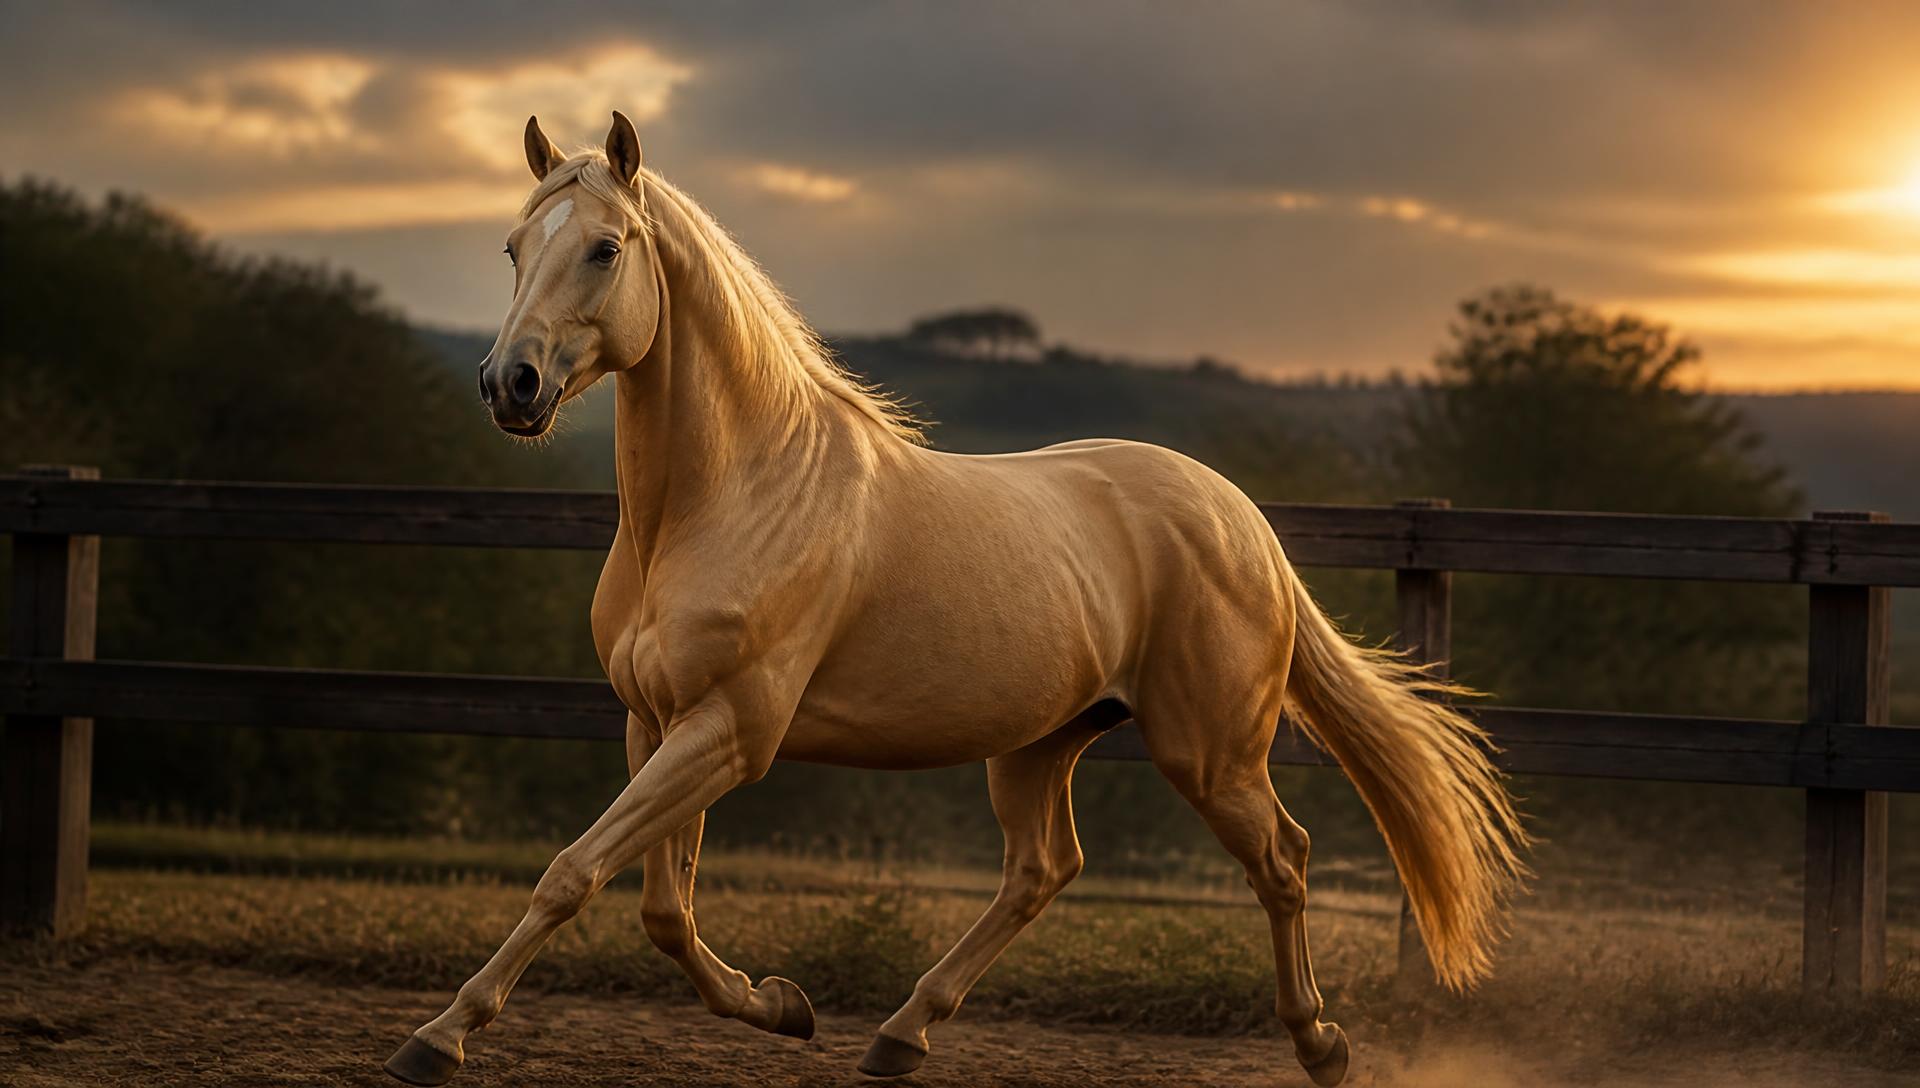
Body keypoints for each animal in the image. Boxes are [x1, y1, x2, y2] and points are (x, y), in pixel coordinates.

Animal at [383, 111, 1527, 1087]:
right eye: (513, 248)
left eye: (606, 249)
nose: (509, 385)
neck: (729, 497)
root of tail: (1244, 522)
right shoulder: (656, 722)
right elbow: (665, 907)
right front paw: (784, 1005)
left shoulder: (729, 731)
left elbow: (573, 872)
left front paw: (437, 1038)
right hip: (1041, 741)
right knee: (1042, 869)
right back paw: (900, 1033)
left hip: (1209, 752)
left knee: (1282, 860)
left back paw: (1322, 1043)